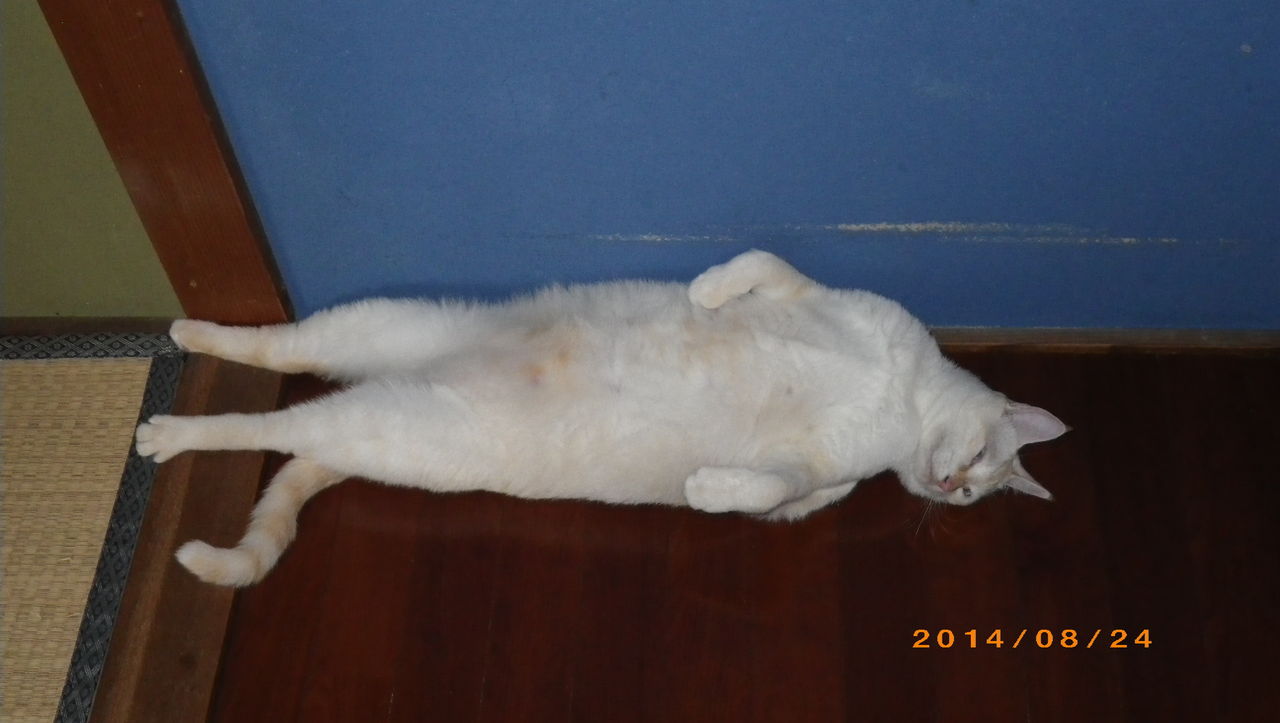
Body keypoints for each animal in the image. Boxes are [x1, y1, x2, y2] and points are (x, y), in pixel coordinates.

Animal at [136, 249, 1066, 586]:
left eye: (974, 495)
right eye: (980, 458)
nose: (950, 484)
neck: (900, 405)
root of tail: (415, 374)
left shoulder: (814, 484)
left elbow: (768, 492)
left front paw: (709, 488)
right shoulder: (820, 296)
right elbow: (760, 264)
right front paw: (707, 292)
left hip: (384, 416)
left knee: (280, 417)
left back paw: (176, 411)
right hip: (374, 330)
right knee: (274, 369)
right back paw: (183, 369)